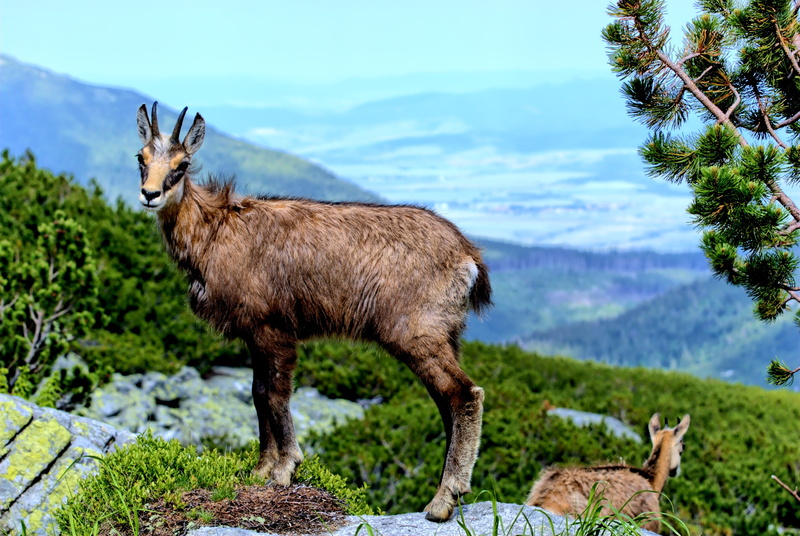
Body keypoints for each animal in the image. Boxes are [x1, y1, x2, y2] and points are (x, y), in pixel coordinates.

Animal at [134, 102, 492, 522]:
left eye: (183, 163)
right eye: (140, 158)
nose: (150, 194)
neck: (214, 233)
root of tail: (468, 256)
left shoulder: (273, 329)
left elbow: (275, 395)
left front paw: (284, 468)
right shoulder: (254, 334)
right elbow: (258, 393)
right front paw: (260, 469)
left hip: (416, 333)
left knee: (464, 394)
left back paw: (442, 499)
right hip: (448, 335)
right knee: (446, 402)